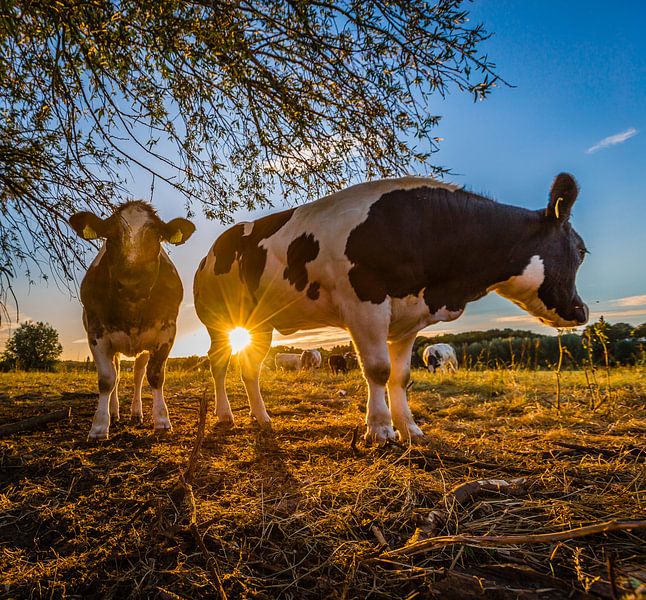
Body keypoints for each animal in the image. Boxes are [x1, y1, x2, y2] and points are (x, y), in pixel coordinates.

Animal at [69, 201, 195, 441]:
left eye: (156, 236)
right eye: (109, 235)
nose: (131, 282)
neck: (132, 308)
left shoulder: (166, 331)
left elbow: (155, 375)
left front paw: (162, 420)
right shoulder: (96, 333)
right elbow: (107, 379)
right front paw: (99, 426)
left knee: (138, 374)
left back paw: (136, 413)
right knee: (117, 374)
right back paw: (114, 412)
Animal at [194, 174, 588, 442]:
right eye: (582, 251)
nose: (582, 310)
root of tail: (211, 251)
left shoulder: (408, 318)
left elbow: (401, 375)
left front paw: (410, 427)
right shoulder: (365, 303)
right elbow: (378, 369)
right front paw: (381, 429)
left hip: (260, 324)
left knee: (249, 367)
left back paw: (261, 418)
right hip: (220, 320)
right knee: (219, 362)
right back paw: (225, 415)